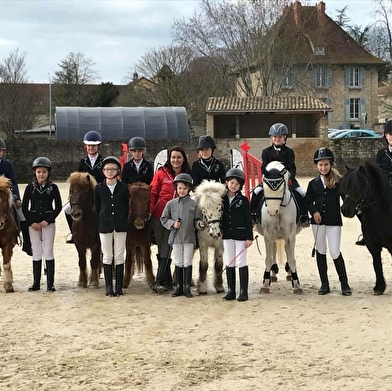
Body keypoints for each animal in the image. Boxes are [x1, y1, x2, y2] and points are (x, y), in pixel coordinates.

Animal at [254, 162, 304, 294]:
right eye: (264, 188)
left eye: (281, 189)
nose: (272, 212)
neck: (280, 209)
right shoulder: (268, 234)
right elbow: (268, 258)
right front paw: (265, 284)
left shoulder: (290, 235)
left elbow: (292, 259)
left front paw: (296, 284)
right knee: (273, 249)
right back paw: (272, 274)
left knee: (286, 250)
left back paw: (289, 273)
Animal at [338, 162, 392, 294]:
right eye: (343, 186)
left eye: (357, 186)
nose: (345, 210)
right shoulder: (372, 246)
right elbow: (377, 264)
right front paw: (379, 287)